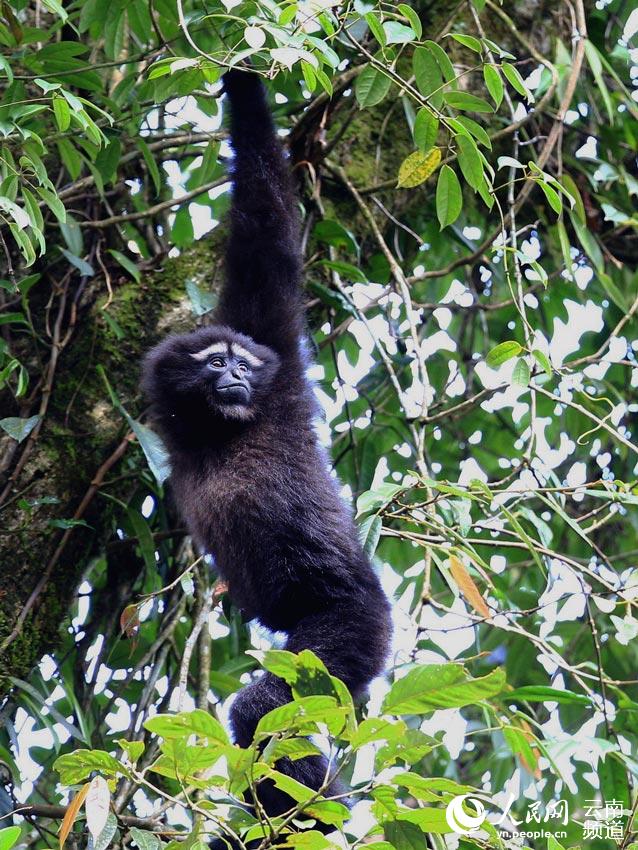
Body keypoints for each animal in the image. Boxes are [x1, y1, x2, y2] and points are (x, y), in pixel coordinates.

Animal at [141, 69, 392, 831]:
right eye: (214, 361)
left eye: (242, 362)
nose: (236, 376)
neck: (219, 434)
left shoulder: (277, 374)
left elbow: (266, 226)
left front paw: (245, 86)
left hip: (351, 624)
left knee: (268, 708)